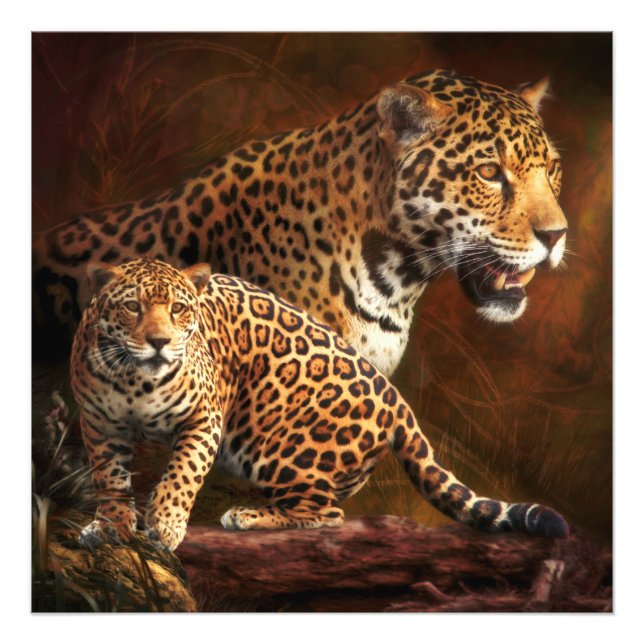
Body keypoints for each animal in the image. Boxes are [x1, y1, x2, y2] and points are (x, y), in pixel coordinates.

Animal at [71, 257, 569, 551]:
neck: (136, 379)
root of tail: (397, 399)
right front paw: (111, 528)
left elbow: (182, 474)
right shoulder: (99, 425)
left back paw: (247, 515)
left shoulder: (203, 418)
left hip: (275, 445)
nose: (159, 342)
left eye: (178, 309)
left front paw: (166, 525)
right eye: (133, 308)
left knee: (326, 514)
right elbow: (110, 480)